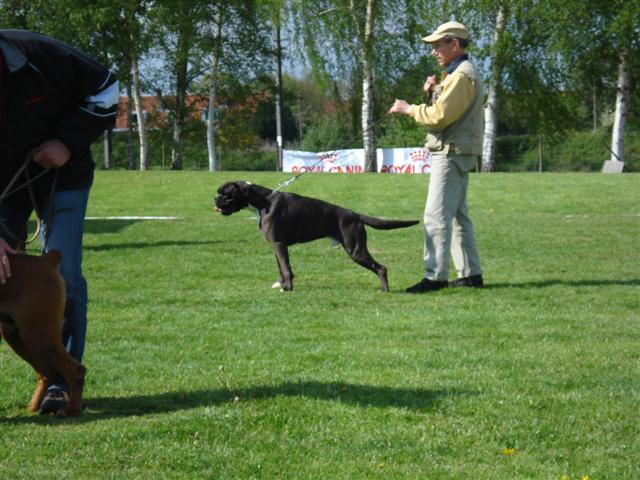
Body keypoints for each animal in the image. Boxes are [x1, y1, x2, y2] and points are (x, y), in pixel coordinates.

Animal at [0, 251, 85, 416]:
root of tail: (45, 260)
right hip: (19, 336)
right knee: (47, 373)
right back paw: (32, 407)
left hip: (38, 335)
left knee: (76, 371)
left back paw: (70, 411)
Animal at [214, 181, 420, 290]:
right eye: (220, 193)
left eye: (226, 194)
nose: (214, 199)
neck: (262, 201)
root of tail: (355, 214)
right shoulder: (275, 245)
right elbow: (281, 267)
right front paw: (281, 284)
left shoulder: (279, 244)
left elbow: (286, 267)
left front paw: (288, 288)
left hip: (355, 249)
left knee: (381, 268)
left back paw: (385, 290)